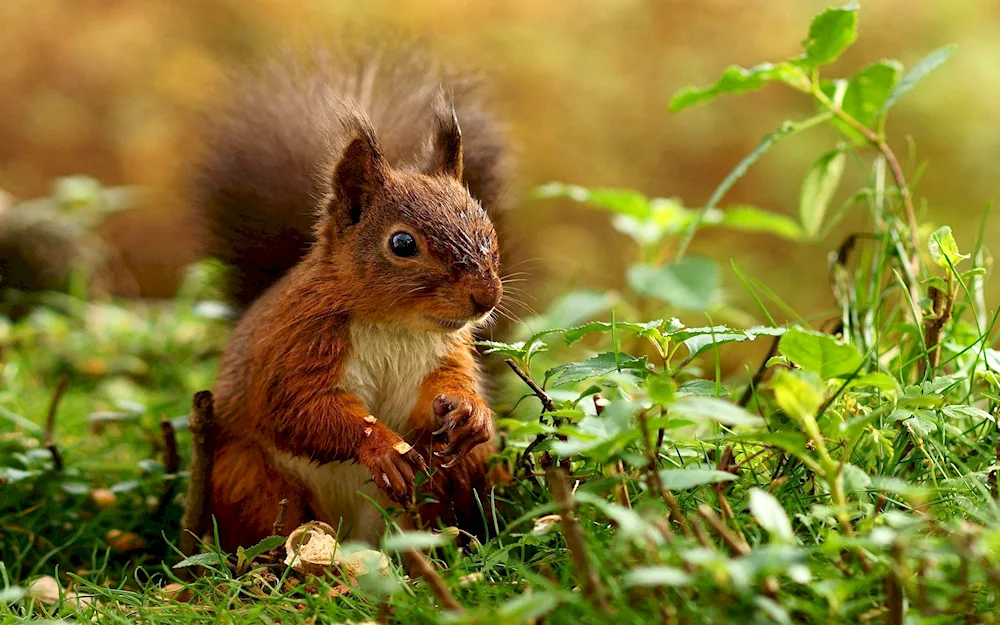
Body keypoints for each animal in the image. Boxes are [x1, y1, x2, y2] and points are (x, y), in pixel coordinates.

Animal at [191, 48, 512, 548]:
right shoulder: (296, 346)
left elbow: (447, 387)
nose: (486, 297)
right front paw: (381, 447)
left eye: (487, 228)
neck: (396, 326)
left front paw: (471, 412)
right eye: (402, 243)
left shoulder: (446, 352)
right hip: (248, 478)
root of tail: (353, 532)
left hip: (448, 480)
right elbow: (303, 410)